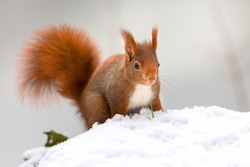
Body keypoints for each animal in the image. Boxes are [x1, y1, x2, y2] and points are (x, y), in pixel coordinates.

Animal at [17, 24, 162, 129]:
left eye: (158, 64)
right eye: (136, 65)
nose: (152, 78)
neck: (141, 87)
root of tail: (81, 101)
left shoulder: (154, 96)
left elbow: (157, 107)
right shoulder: (117, 97)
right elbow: (118, 111)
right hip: (96, 105)